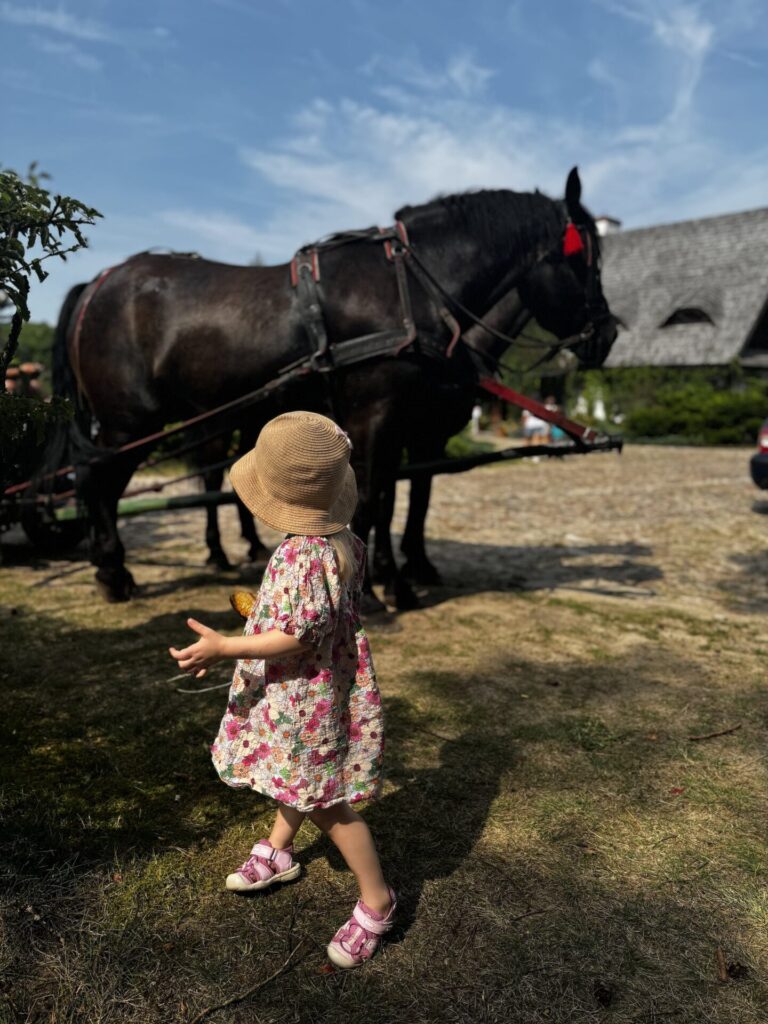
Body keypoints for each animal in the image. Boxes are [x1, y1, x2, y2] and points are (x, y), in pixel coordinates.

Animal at [51, 167, 618, 606]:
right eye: (584, 261)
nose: (608, 333)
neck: (408, 291)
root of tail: (99, 280)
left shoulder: (404, 427)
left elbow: (397, 496)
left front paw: (398, 575)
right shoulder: (378, 416)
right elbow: (372, 500)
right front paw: (378, 588)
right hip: (130, 422)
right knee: (98, 480)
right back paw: (114, 569)